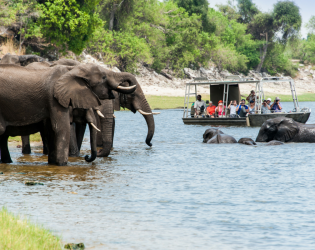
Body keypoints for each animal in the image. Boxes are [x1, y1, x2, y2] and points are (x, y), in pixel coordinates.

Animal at [0, 63, 136, 165]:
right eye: (103, 77)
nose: (87, 157)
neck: (73, 70)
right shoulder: (54, 99)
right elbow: (62, 128)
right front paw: (62, 165)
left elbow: (52, 130)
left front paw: (53, 164)